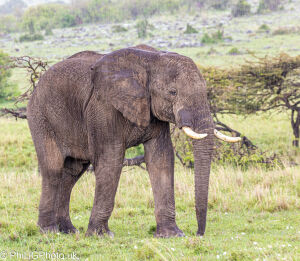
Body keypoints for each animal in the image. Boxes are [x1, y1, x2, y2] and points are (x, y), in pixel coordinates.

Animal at [27, 45, 240, 238]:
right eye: (172, 92)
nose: (198, 234)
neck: (152, 60)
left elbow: (161, 158)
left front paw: (172, 235)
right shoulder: (103, 108)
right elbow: (111, 160)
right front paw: (100, 235)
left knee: (72, 172)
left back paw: (68, 231)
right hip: (41, 116)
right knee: (53, 169)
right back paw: (48, 231)